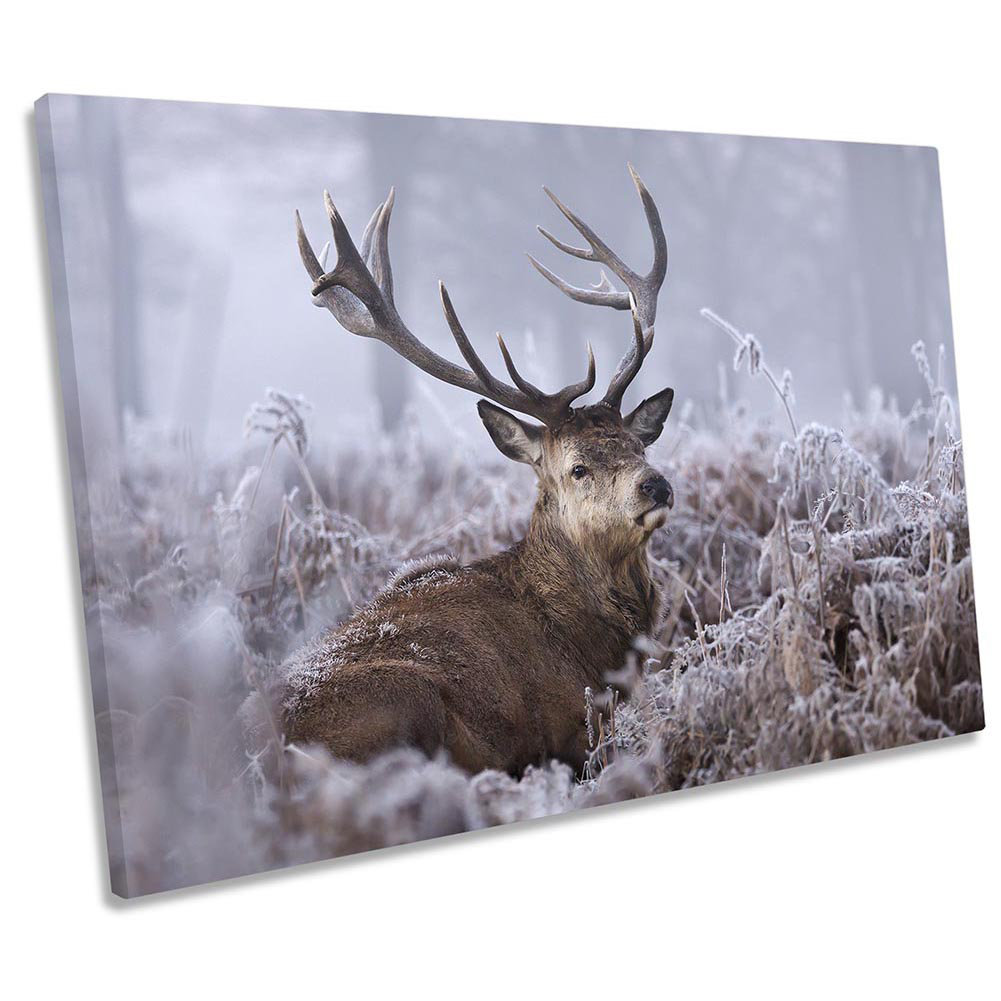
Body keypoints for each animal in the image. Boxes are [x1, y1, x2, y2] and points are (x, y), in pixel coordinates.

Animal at [279, 165, 673, 776]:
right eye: (577, 468)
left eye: (640, 447)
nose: (655, 485)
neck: (593, 648)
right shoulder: (576, 727)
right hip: (406, 699)